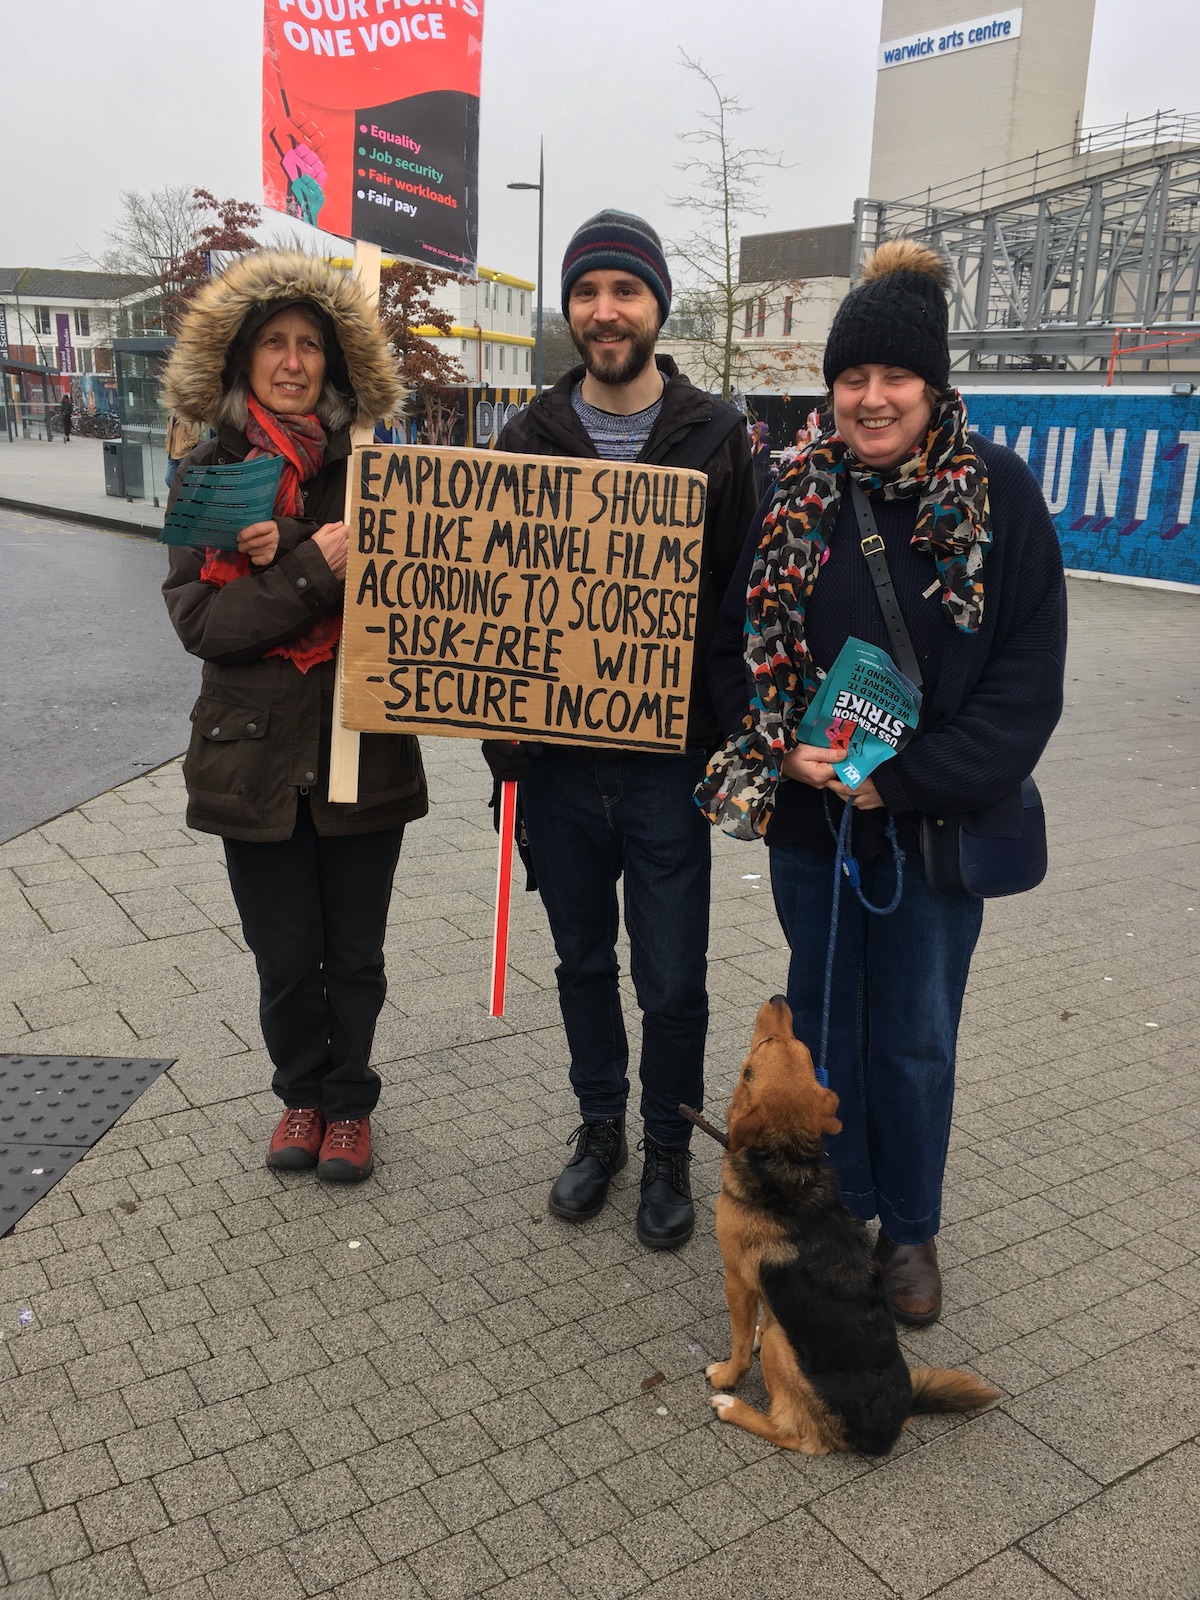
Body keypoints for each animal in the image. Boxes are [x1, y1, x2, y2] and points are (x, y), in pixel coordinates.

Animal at [706, 996, 998, 1456]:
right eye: (805, 1049)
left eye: (765, 1045)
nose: (779, 999)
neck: (790, 1164)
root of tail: (889, 1425)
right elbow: (761, 1319)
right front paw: (755, 1329)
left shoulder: (737, 1280)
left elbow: (738, 1344)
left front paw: (727, 1375)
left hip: (783, 1351)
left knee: (795, 1435)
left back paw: (732, 1407)